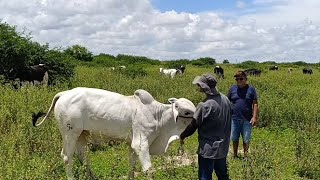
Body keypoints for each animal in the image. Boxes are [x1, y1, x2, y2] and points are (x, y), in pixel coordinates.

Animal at [33, 87, 198, 179]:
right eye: (186, 111)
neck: (158, 116)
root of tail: (63, 93)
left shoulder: (132, 145)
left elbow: (132, 167)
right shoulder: (141, 143)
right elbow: (149, 171)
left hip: (82, 135)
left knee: (84, 157)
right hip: (69, 133)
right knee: (67, 157)